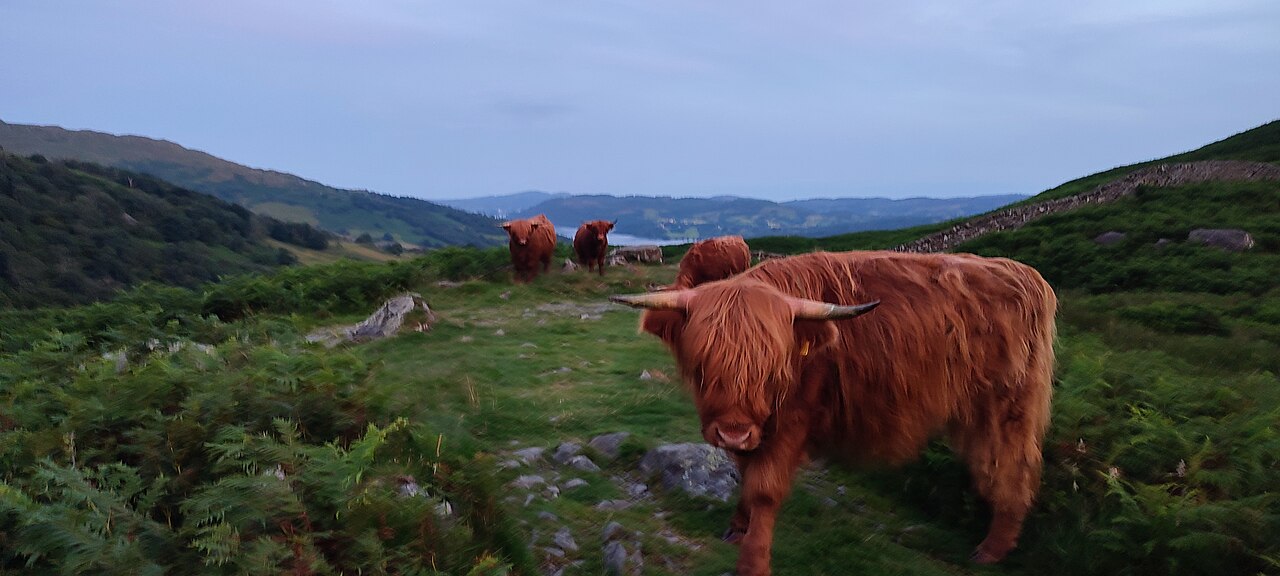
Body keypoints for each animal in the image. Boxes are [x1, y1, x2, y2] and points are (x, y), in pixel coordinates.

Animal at [611, 251, 1056, 575]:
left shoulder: (794, 419)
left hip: (1007, 405)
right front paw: (738, 525)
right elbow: (744, 474)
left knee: (1011, 466)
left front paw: (753, 561)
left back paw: (992, 549)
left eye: (772, 369)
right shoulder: (749, 427)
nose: (733, 433)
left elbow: (764, 488)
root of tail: (1027, 274)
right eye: (703, 364)